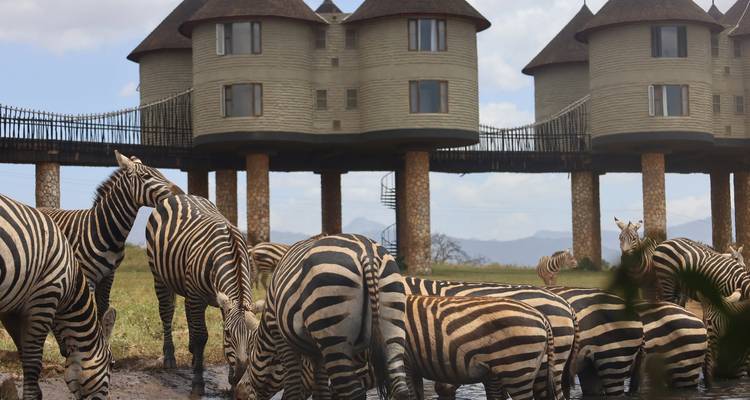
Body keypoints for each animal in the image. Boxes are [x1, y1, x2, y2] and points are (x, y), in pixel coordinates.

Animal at [40, 150, 182, 318]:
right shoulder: (87, 277)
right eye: (146, 176)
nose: (180, 193)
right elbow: (92, 312)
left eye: (160, 173)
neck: (104, 228)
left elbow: (102, 310)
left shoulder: (109, 276)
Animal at [145, 194, 257, 396]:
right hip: (159, 275)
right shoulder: (197, 298)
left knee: (187, 311)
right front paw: (198, 382)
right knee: (166, 312)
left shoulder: (222, 302)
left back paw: (192, 354)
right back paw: (169, 357)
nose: (238, 375)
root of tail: (180, 195)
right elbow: (200, 337)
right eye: (228, 334)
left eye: (252, 336)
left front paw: (231, 383)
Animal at [241, 234, 409, 400]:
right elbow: (321, 390)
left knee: (353, 392)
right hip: (392, 324)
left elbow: (293, 390)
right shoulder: (317, 353)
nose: (239, 393)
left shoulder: (282, 338)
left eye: (249, 357)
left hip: (332, 331)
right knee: (400, 387)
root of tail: (367, 254)